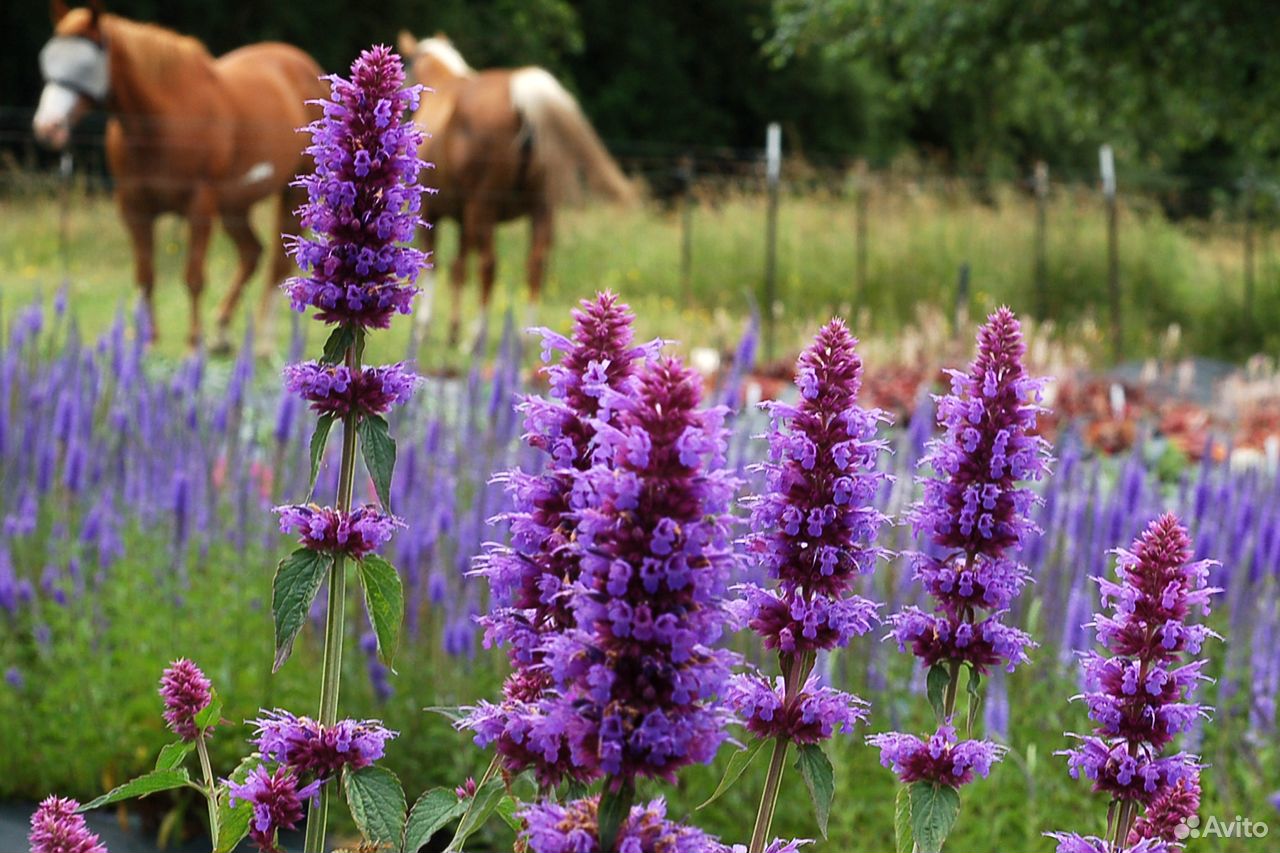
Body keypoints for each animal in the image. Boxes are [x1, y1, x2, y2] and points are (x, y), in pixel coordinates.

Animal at [34, 0, 327, 348]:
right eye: (49, 59)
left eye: (84, 64)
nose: (48, 127)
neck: (161, 119)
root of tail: (304, 66)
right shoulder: (134, 208)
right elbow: (145, 276)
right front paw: (147, 341)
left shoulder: (200, 204)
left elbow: (194, 276)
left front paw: (192, 343)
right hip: (234, 205)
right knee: (252, 253)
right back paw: (223, 330)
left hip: (292, 191)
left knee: (277, 264)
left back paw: (263, 342)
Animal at [396, 30, 632, 343]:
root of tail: (520, 97)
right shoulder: (463, 218)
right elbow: (459, 268)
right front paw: (452, 330)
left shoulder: (435, 213)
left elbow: (435, 264)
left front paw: (424, 327)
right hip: (540, 207)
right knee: (535, 265)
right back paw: (527, 335)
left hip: (483, 208)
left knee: (488, 265)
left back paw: (477, 337)